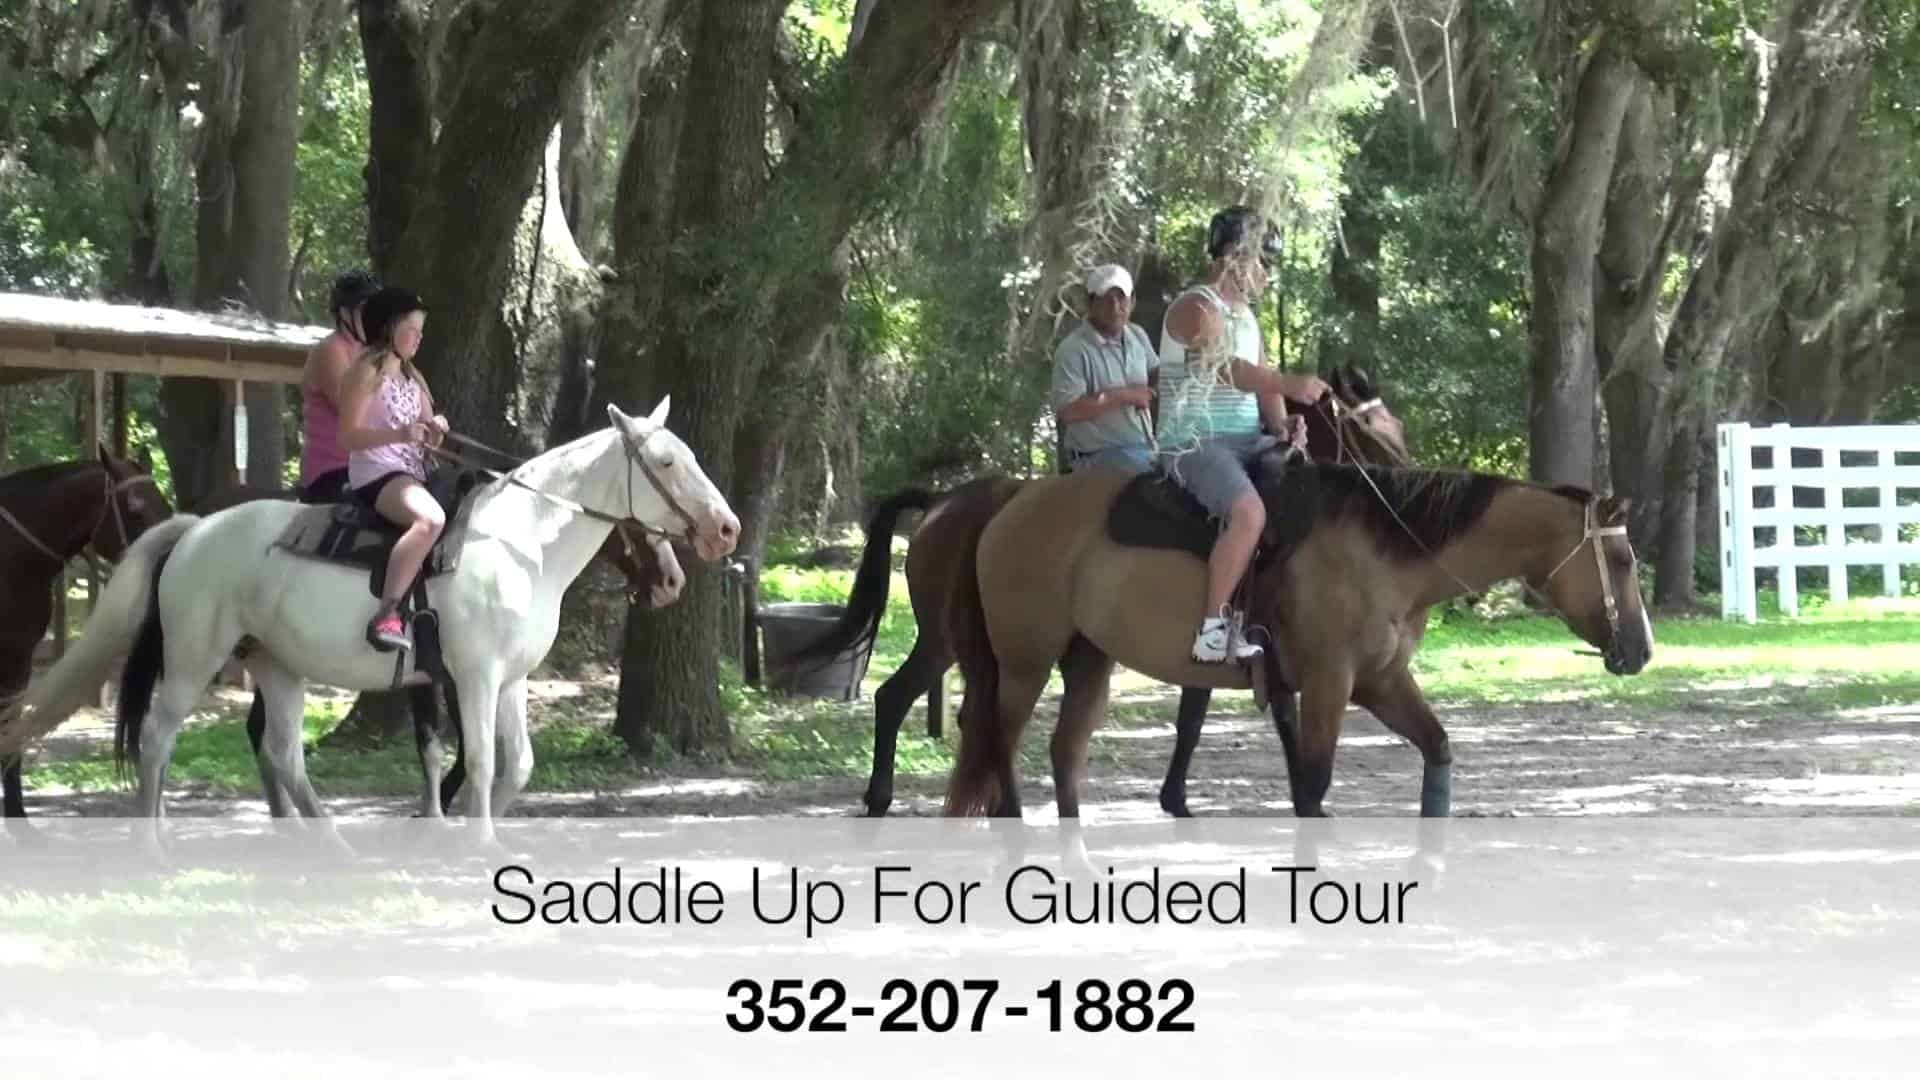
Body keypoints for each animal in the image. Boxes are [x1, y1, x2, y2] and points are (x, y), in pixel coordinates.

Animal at [795, 365, 1411, 817]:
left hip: (952, 642)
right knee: (961, 713)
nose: (1406, 470)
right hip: (975, 642)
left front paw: (1181, 798)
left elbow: (1212, 718)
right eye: (1372, 427)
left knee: (911, 700)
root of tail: (946, 503)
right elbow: (1240, 719)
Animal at [942, 459, 1655, 820]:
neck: (1384, 551)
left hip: (1089, 660)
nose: (1643, 651)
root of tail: (1013, 500)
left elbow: (1437, 751)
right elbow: (1311, 785)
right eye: (1623, 561)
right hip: (1025, 660)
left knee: (1064, 754)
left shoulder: (1380, 681)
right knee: (1001, 745)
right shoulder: (1328, 684)